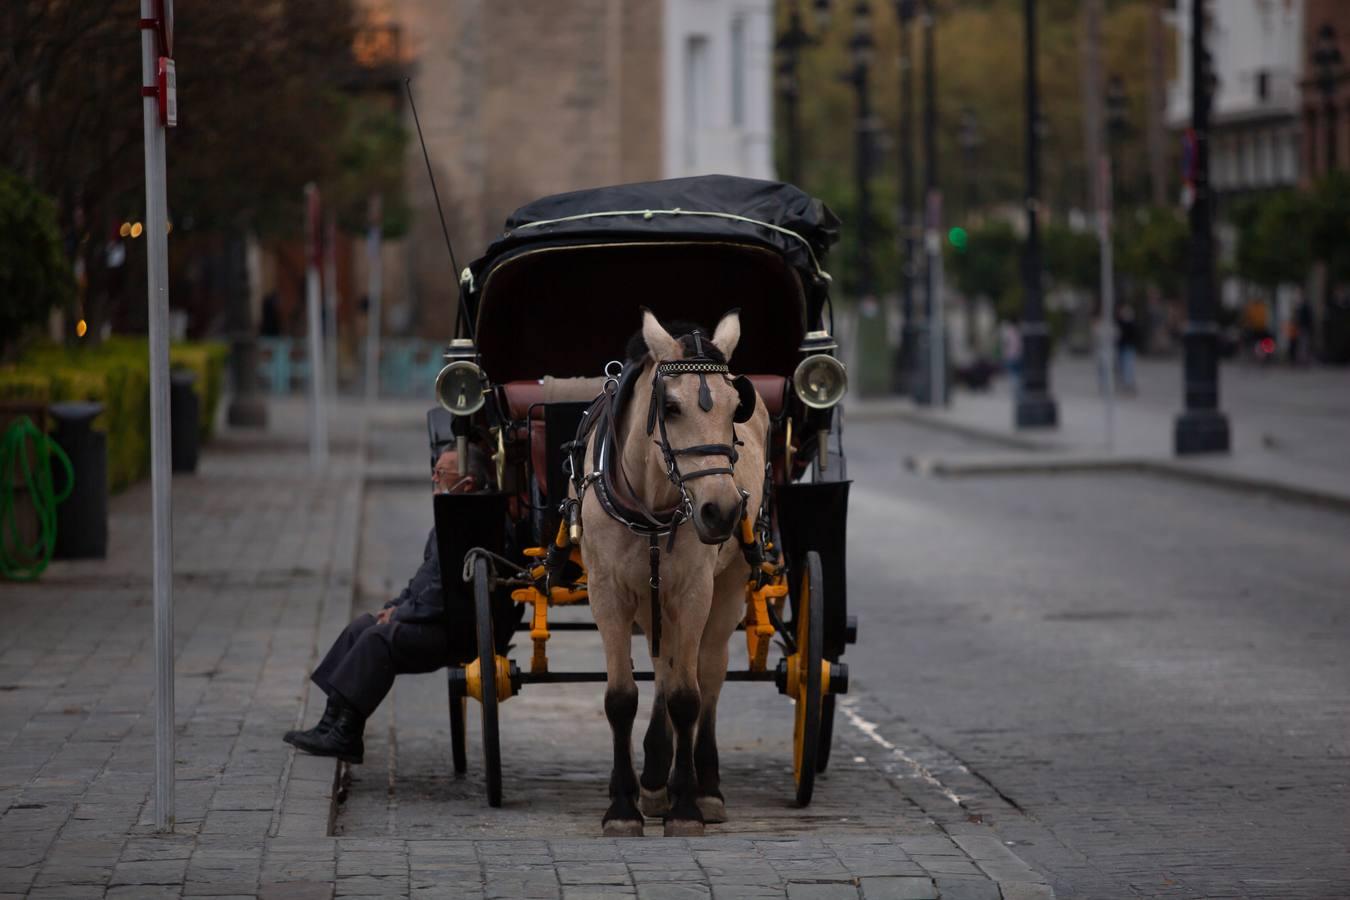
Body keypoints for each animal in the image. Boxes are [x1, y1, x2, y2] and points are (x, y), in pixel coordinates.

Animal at [575, 310, 772, 836]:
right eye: (671, 406)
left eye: (735, 406)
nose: (721, 512)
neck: (653, 503)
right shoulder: (609, 593)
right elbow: (622, 697)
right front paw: (623, 806)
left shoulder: (693, 591)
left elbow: (688, 696)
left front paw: (686, 806)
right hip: (651, 596)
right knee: (663, 667)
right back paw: (652, 781)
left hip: (725, 590)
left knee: (708, 675)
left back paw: (705, 787)